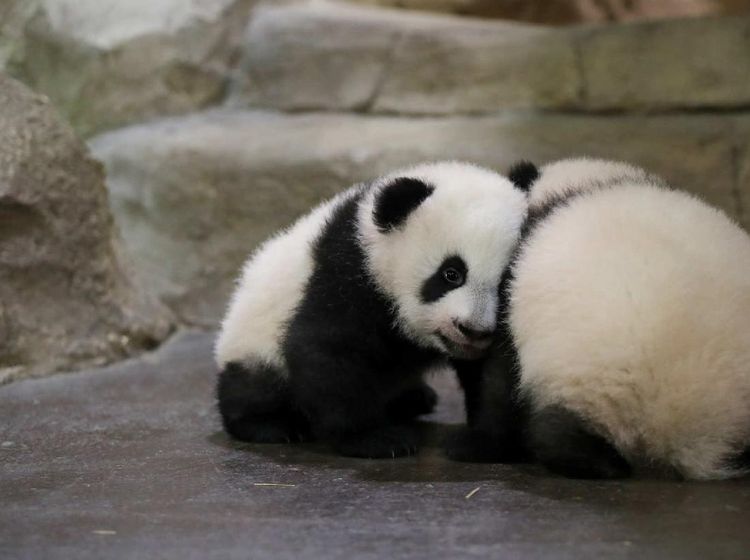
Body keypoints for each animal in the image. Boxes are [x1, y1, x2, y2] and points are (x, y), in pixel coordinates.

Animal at [215, 161, 529, 458]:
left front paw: (482, 441)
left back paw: (413, 399)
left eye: (506, 280)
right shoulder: (346, 274)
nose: (473, 330)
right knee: (254, 384)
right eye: (451, 274)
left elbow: (492, 375)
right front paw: (374, 439)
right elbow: (330, 350)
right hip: (255, 338)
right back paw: (271, 424)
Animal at [448, 157, 750, 480]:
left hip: (592, 380)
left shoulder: (513, 286)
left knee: (559, 436)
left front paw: (477, 443)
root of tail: (690, 445)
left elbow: (500, 379)